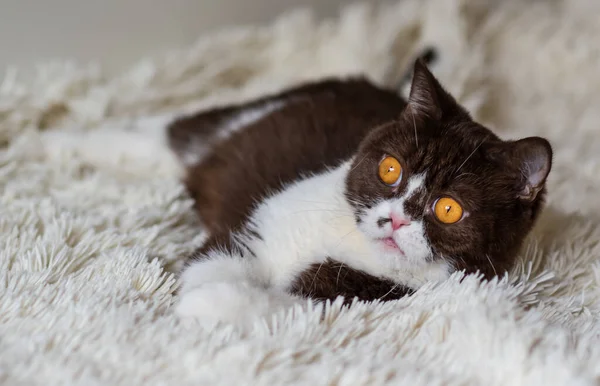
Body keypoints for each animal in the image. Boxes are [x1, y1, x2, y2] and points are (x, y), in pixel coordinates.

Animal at [168, 58, 552, 328]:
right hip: (253, 114)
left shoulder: (371, 295)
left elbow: (296, 307)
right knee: (178, 132)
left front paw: (207, 305)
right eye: (390, 169)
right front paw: (202, 298)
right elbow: (218, 256)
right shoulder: (261, 219)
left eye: (448, 209)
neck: (354, 241)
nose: (395, 219)